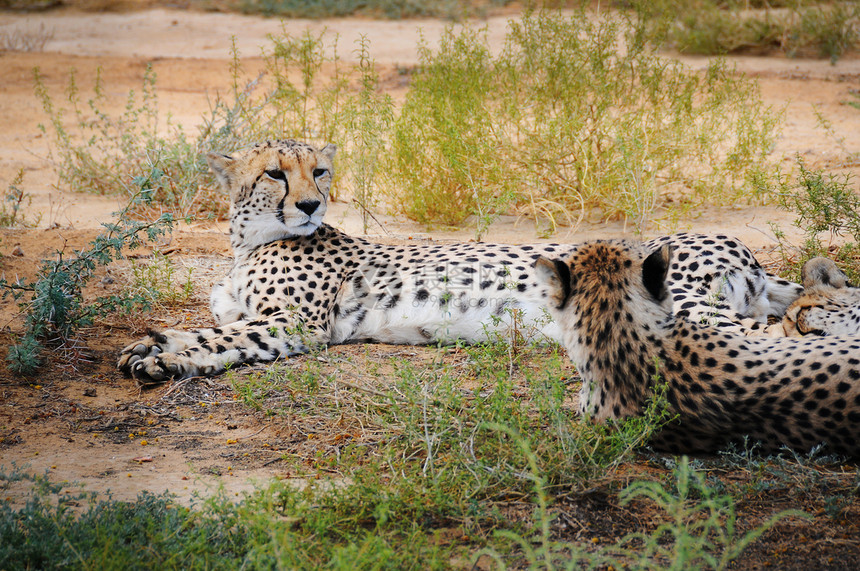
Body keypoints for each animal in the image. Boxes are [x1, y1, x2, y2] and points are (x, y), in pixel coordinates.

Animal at [117, 141, 804, 386]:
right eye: (274, 174)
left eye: (319, 171)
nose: (310, 204)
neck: (247, 242)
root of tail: (742, 247)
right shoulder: (253, 313)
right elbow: (202, 326)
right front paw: (148, 347)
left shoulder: (297, 324)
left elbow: (221, 340)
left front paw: (165, 360)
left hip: (685, 304)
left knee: (762, 338)